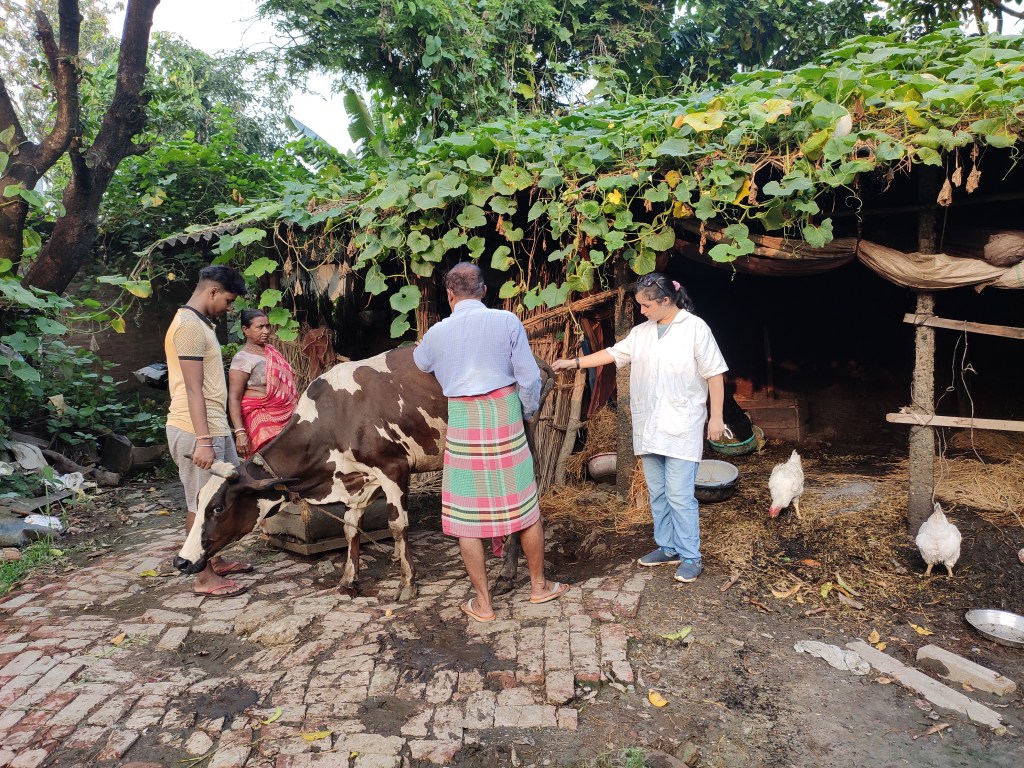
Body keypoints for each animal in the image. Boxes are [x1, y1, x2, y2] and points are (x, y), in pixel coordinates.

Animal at [173, 346, 552, 601]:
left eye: (218, 508)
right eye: (199, 501)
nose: (181, 561)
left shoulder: (394, 468)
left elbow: (397, 526)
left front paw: (407, 583)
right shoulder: (358, 480)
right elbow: (350, 528)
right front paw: (348, 579)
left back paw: (507, 575)